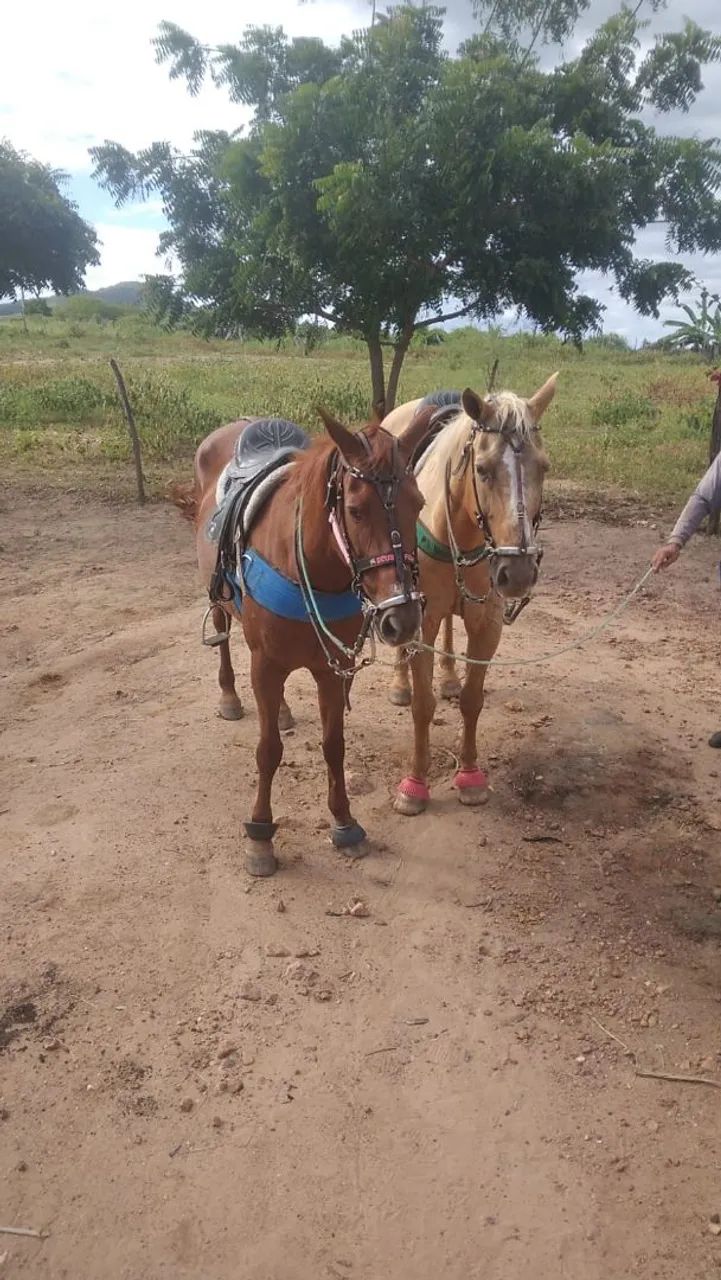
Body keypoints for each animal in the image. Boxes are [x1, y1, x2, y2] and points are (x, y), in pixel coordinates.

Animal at [186, 408, 434, 875]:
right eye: (355, 510)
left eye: (420, 504)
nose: (403, 617)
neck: (312, 569)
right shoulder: (266, 665)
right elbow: (268, 751)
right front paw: (260, 836)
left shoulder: (332, 669)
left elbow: (334, 746)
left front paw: (345, 823)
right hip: (219, 599)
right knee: (224, 637)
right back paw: (229, 696)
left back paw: (282, 711)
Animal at [380, 376, 557, 816]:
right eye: (483, 470)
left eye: (543, 468)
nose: (518, 572)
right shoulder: (420, 621)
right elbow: (423, 706)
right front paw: (414, 785)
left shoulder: (487, 623)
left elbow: (473, 700)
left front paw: (471, 776)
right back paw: (399, 684)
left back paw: (448, 677)